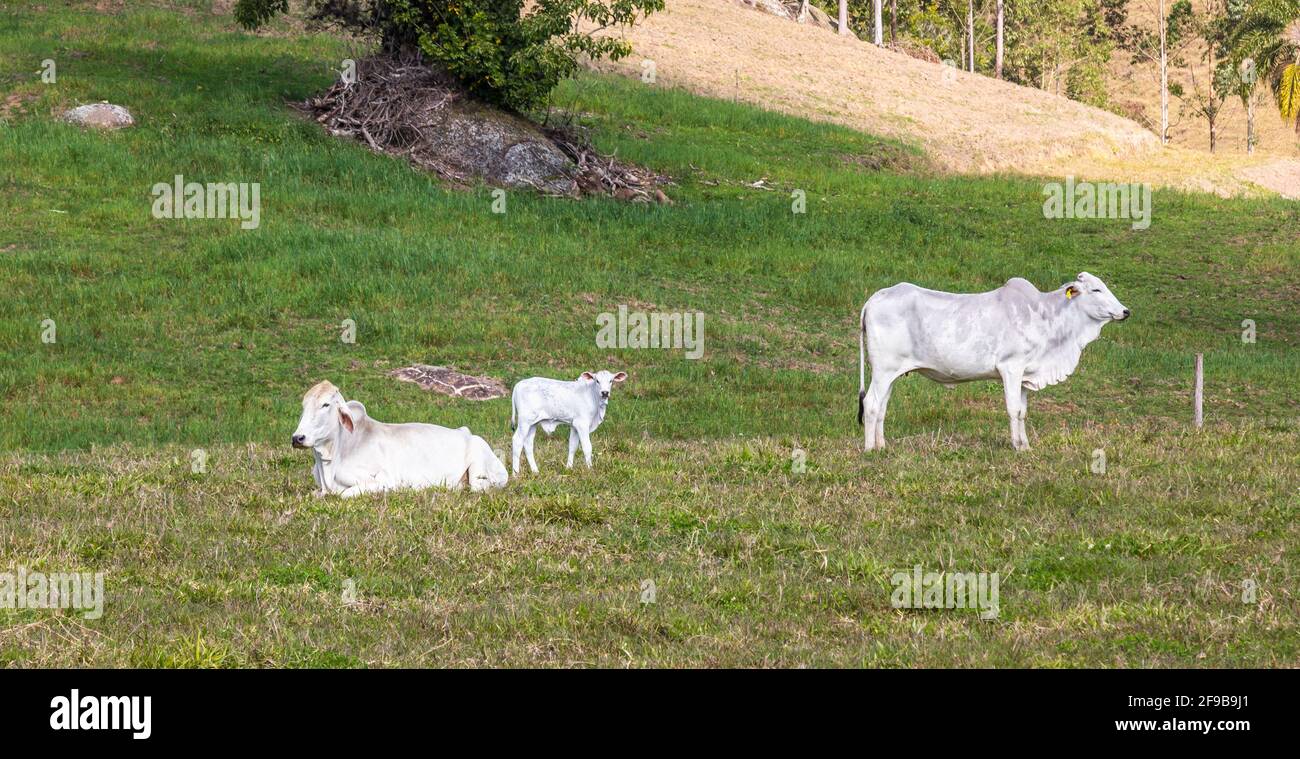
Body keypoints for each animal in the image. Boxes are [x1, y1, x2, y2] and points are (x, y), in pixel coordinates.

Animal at [291, 379, 506, 499]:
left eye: (325, 405)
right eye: (303, 405)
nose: (297, 438)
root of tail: (466, 432)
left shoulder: (385, 481)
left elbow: (344, 494)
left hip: (479, 477)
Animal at [852, 272, 1128, 449]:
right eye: (1096, 289)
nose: (1126, 311)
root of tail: (875, 298)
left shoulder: (1025, 374)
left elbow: (1023, 411)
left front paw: (1026, 445)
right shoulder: (1011, 367)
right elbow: (1013, 409)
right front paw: (1016, 446)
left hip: (890, 373)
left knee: (882, 406)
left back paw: (882, 446)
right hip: (883, 370)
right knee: (872, 403)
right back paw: (870, 450)